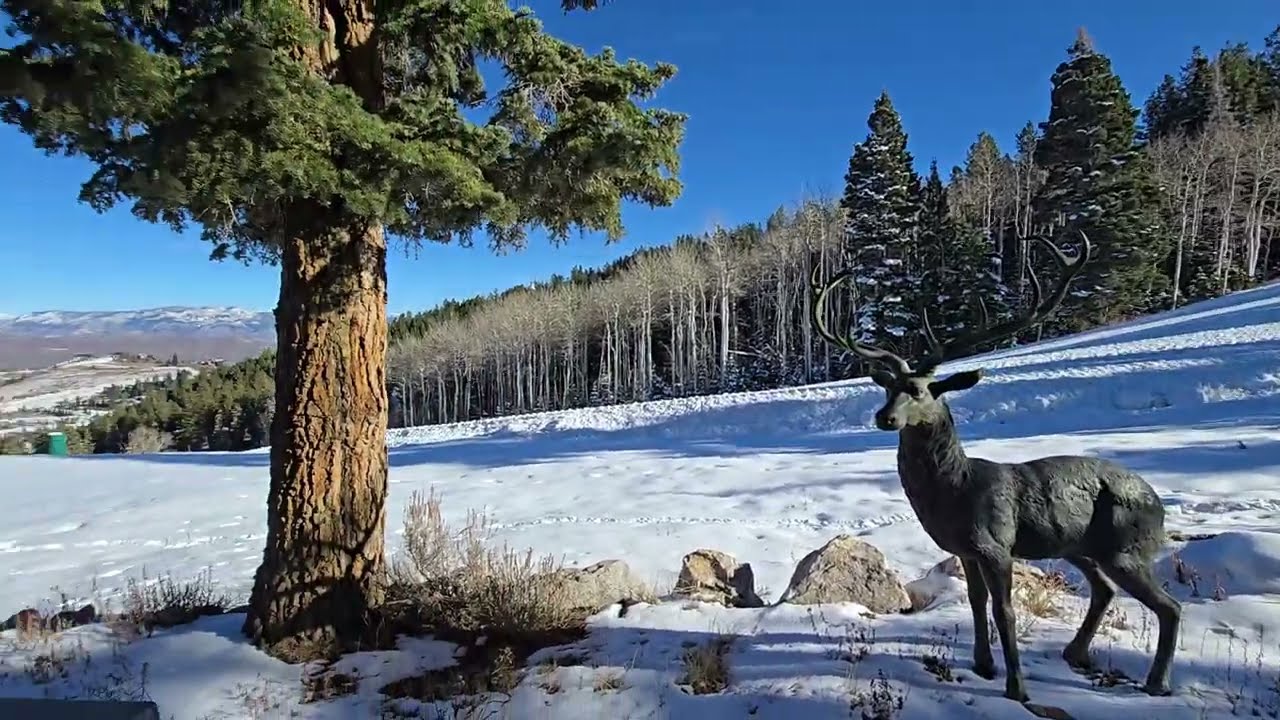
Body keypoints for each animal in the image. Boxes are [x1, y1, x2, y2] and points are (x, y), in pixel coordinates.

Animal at [810, 230, 1180, 703]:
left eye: (921, 390)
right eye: (888, 388)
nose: (883, 417)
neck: (956, 491)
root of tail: (1158, 502)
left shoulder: (996, 544)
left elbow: (1005, 611)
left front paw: (1016, 688)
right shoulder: (965, 550)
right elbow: (975, 602)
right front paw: (982, 665)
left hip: (1125, 545)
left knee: (1169, 605)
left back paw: (1156, 682)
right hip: (1080, 546)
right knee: (1105, 590)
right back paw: (1075, 654)